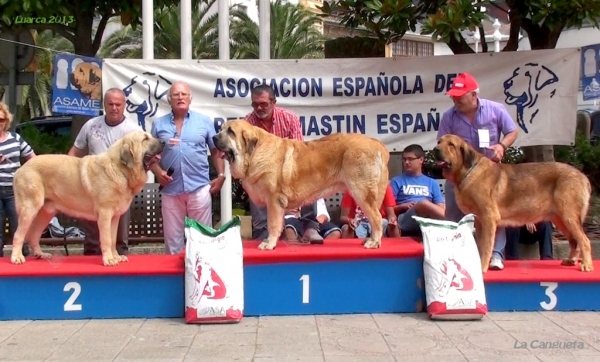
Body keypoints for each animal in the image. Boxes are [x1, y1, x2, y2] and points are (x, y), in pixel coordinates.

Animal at [10, 132, 164, 268]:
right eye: (145, 139)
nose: (163, 141)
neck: (120, 169)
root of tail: (20, 169)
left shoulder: (114, 217)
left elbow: (113, 239)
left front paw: (116, 257)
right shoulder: (105, 214)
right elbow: (106, 239)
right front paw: (109, 260)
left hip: (46, 213)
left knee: (34, 234)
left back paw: (40, 254)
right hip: (30, 208)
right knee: (18, 234)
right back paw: (17, 257)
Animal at [434, 134, 592, 272]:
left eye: (451, 144)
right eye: (439, 142)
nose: (435, 149)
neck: (468, 171)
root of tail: (583, 176)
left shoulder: (489, 219)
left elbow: (486, 247)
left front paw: (482, 267)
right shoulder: (479, 222)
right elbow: (480, 246)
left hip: (568, 216)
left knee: (584, 240)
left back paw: (586, 265)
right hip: (560, 219)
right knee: (574, 240)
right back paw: (571, 260)